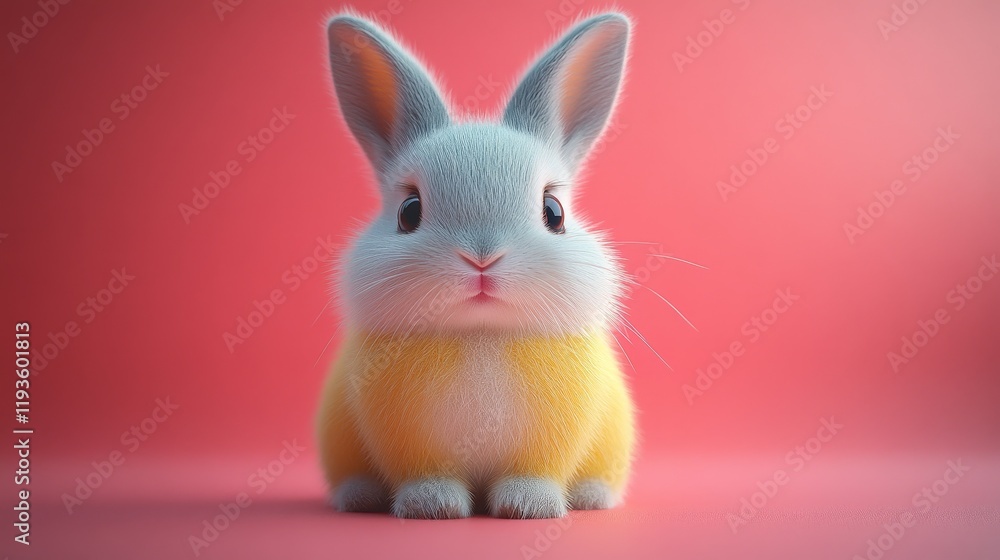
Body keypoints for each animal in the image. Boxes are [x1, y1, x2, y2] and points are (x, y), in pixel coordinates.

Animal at [316, 10, 635, 519]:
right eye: (408, 212)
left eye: (554, 213)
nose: (482, 257)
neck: (480, 335)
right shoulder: (412, 445)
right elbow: (427, 475)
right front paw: (433, 506)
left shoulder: (549, 444)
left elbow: (534, 473)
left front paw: (528, 506)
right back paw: (359, 497)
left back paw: (591, 497)